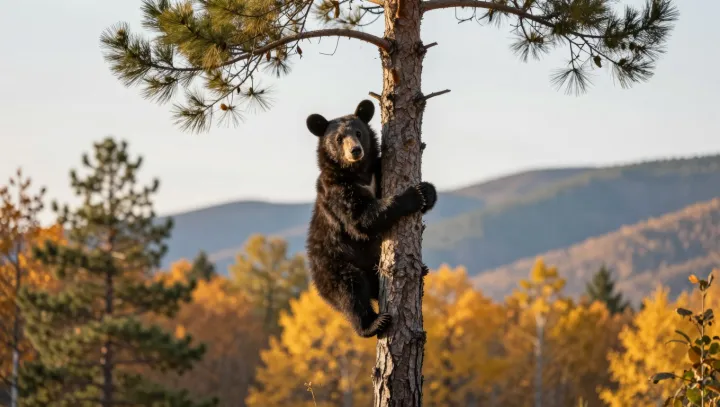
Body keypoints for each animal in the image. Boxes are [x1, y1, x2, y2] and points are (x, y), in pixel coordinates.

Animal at [305, 99, 438, 338]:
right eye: (339, 139)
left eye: (359, 132)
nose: (355, 150)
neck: (357, 172)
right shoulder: (337, 190)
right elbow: (362, 218)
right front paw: (413, 195)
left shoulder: (377, 171)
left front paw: (426, 191)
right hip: (335, 262)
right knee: (350, 290)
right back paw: (373, 323)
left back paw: (422, 270)